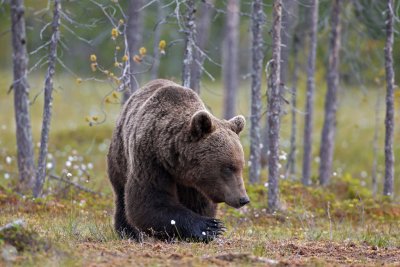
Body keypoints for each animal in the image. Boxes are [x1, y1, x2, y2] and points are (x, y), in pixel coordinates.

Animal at [108, 79, 248, 243]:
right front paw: (209, 227)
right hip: (119, 156)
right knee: (121, 194)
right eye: (228, 168)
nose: (243, 199)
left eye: (241, 166)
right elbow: (150, 200)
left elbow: (199, 203)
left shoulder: (196, 182)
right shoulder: (150, 160)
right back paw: (128, 232)